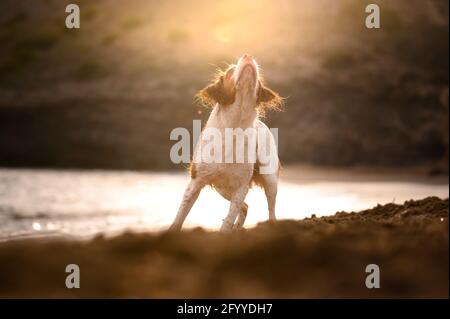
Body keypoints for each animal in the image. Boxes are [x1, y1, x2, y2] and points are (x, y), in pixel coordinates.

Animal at [169, 55, 282, 234]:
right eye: (230, 71)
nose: (247, 55)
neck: (235, 125)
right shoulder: (196, 181)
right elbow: (181, 214)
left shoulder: (241, 186)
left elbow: (229, 217)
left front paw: (225, 233)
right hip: (223, 188)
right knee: (245, 206)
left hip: (269, 178)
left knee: (270, 207)